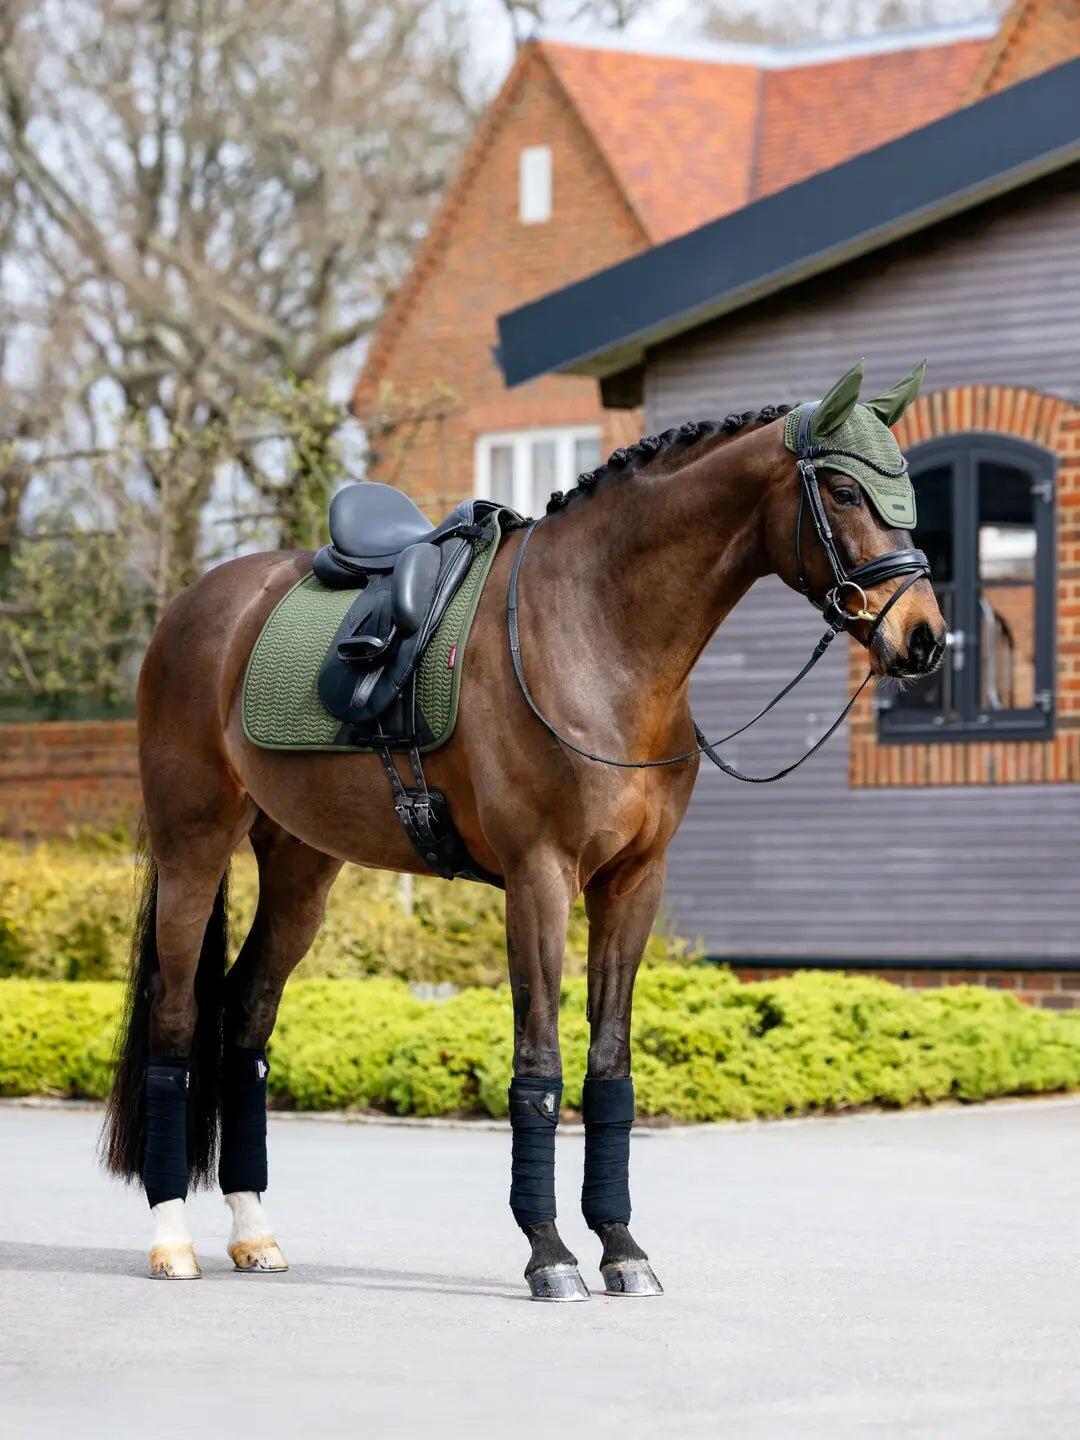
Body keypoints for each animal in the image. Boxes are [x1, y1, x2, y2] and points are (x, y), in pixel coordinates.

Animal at [102, 360, 945, 1299]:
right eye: (843, 488)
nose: (923, 637)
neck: (596, 635)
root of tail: (198, 605)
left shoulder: (632, 883)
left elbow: (610, 1067)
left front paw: (621, 1246)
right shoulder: (539, 877)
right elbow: (538, 1064)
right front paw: (550, 1253)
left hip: (302, 867)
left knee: (247, 1016)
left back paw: (255, 1233)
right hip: (194, 845)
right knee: (178, 1020)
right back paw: (172, 1241)